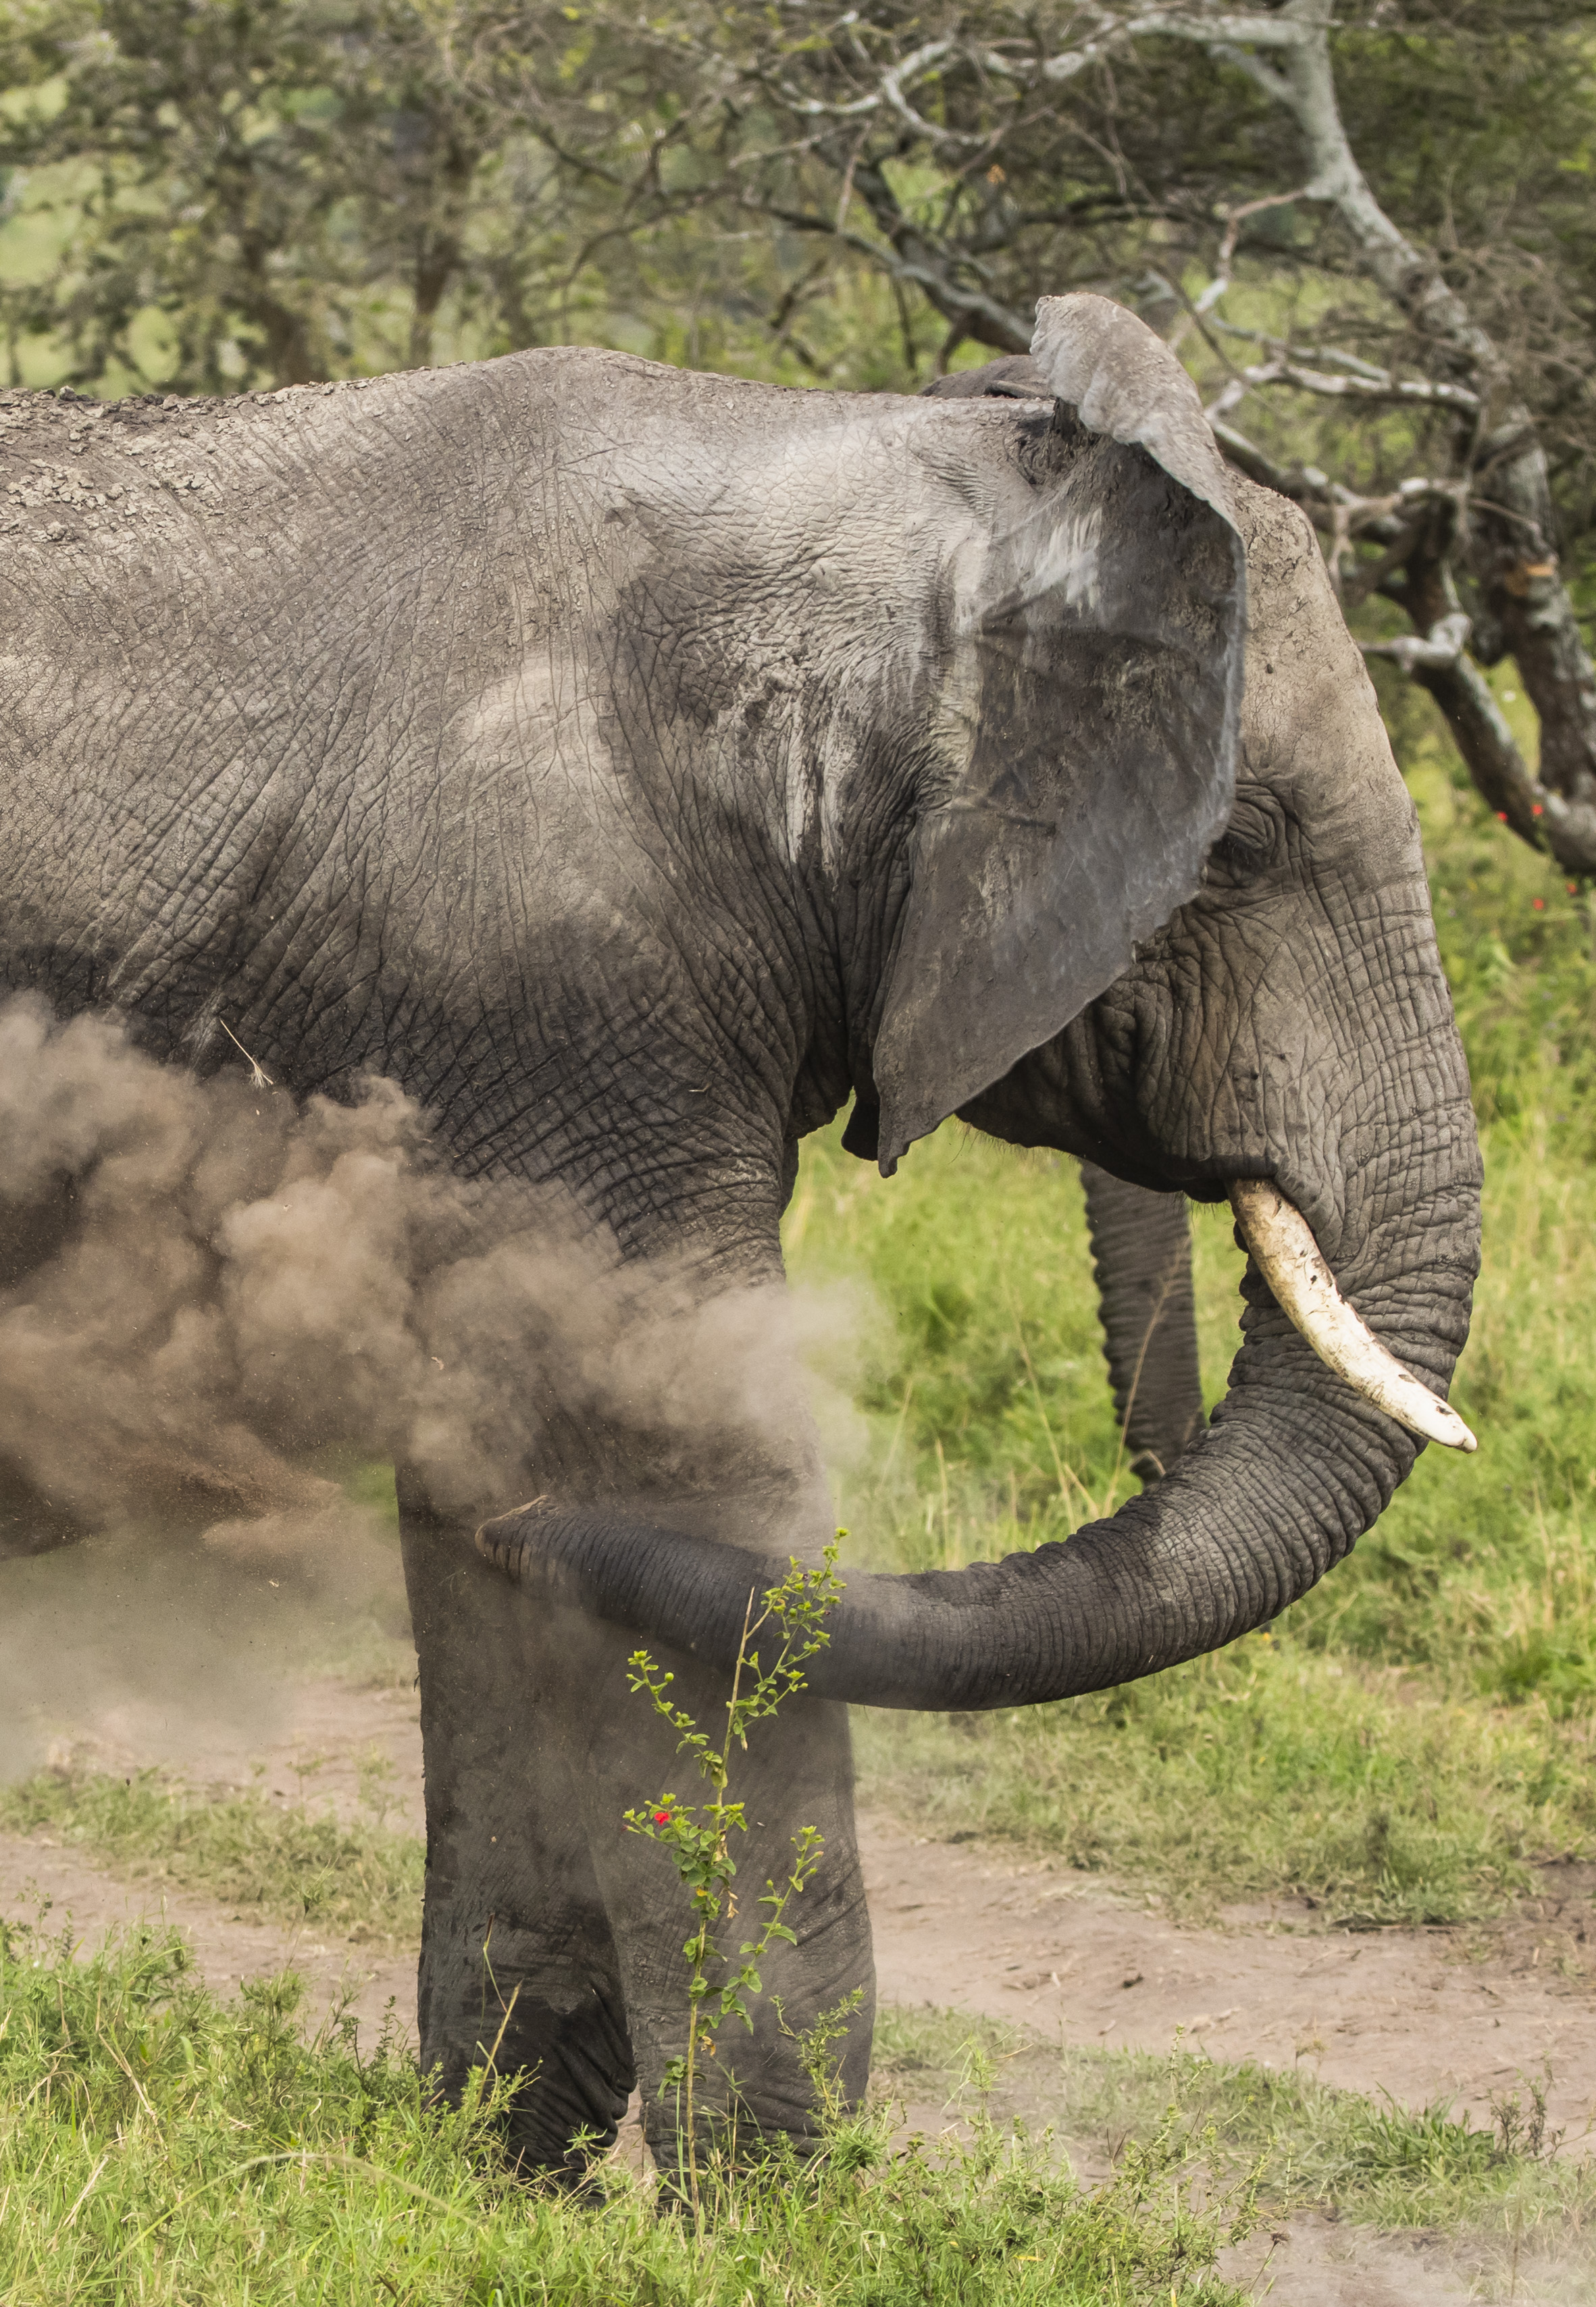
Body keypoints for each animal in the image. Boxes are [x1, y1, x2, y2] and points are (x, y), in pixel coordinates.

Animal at [0, 293, 1479, 2182]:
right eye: (1243, 844)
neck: (839, 466)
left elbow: (507, 1490)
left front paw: (504, 2168)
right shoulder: (556, 971)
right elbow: (683, 1476)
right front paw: (786, 2203)